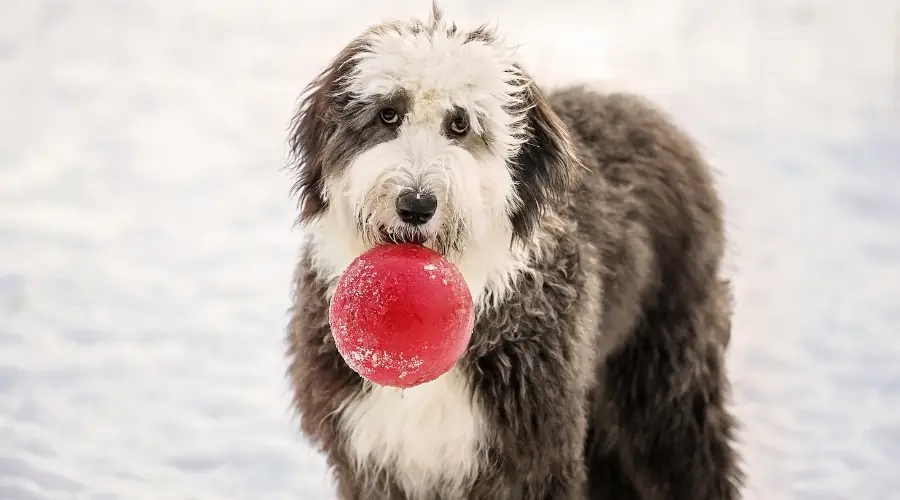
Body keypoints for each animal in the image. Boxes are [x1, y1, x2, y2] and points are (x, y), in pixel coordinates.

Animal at [284, 4, 740, 500]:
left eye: (459, 123)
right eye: (388, 114)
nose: (416, 205)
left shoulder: (531, 456)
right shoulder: (373, 453)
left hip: (664, 375)